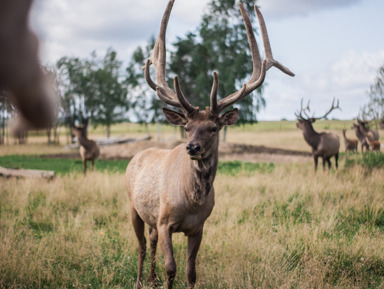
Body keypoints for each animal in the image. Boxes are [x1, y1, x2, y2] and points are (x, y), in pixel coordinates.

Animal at [124, 0, 292, 288]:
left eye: (213, 128)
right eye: (187, 128)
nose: (192, 148)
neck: (191, 203)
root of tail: (137, 156)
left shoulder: (199, 227)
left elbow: (191, 272)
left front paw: (176, 279)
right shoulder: (165, 221)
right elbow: (172, 268)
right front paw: (165, 280)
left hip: (150, 215)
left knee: (151, 240)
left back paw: (151, 279)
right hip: (132, 205)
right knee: (142, 245)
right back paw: (139, 281)